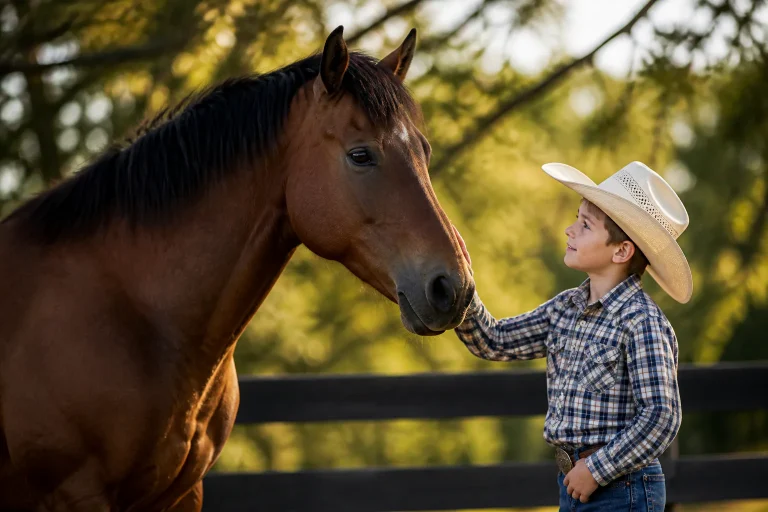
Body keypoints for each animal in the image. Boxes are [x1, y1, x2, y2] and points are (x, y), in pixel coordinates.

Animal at [0, 26, 474, 511]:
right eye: (360, 155)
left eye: (424, 151)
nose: (453, 288)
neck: (136, 316)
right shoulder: (77, 491)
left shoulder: (183, 493)